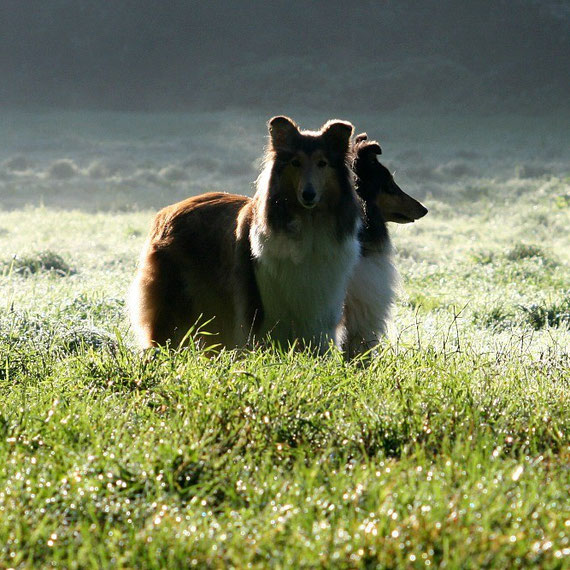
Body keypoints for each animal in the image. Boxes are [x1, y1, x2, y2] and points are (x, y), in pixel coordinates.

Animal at [129, 115, 360, 350]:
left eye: (322, 163)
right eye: (296, 162)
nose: (308, 195)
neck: (308, 225)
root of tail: (164, 213)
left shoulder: (320, 314)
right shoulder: (264, 309)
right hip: (176, 306)